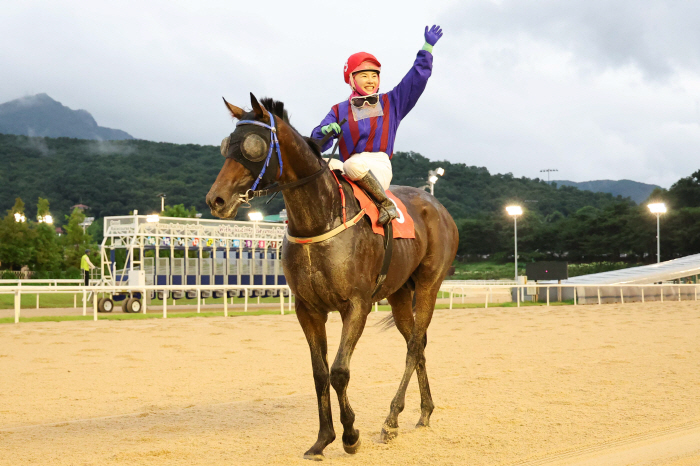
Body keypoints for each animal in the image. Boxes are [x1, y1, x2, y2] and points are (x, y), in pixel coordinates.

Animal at [205, 93, 462, 458]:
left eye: (254, 146)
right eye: (227, 145)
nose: (216, 199)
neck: (318, 220)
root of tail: (435, 204)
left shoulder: (356, 305)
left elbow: (339, 371)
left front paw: (350, 435)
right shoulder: (308, 309)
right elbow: (319, 373)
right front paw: (323, 438)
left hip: (429, 284)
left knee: (414, 346)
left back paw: (390, 420)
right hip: (399, 293)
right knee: (418, 342)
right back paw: (423, 412)